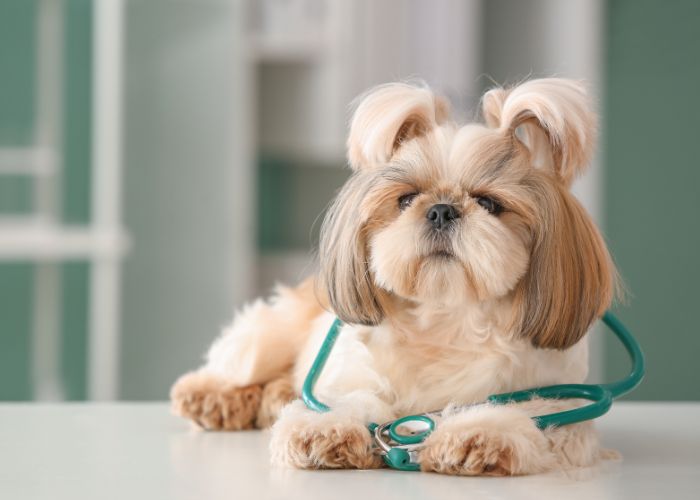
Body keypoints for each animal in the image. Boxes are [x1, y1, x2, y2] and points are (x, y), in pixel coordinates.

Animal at [171, 79, 616, 476]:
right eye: (406, 199)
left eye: (489, 203)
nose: (441, 209)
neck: (445, 321)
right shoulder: (353, 374)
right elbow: (352, 400)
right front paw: (327, 430)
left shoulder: (561, 403)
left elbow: (535, 412)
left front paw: (478, 434)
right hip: (271, 333)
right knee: (245, 360)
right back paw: (215, 396)